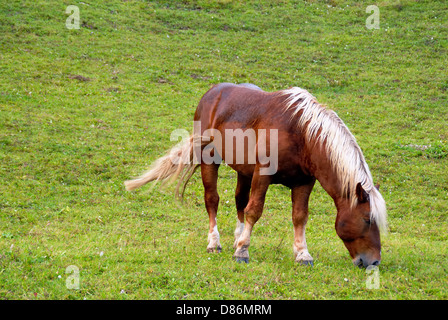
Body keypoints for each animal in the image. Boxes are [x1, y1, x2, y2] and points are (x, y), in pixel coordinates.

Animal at [124, 83, 386, 268]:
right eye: (367, 220)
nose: (373, 261)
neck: (301, 133)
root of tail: (212, 93)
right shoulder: (263, 174)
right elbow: (254, 210)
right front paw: (242, 252)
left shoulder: (304, 182)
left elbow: (299, 217)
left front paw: (302, 254)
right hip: (210, 161)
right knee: (212, 201)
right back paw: (215, 243)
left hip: (243, 171)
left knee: (239, 199)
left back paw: (237, 237)